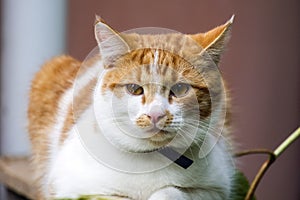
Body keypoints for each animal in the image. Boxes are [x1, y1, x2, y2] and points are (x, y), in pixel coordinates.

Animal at [27, 15, 234, 200]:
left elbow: (171, 191)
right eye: (135, 89)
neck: (150, 158)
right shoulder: (69, 187)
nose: (156, 115)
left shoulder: (216, 189)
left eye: (180, 89)